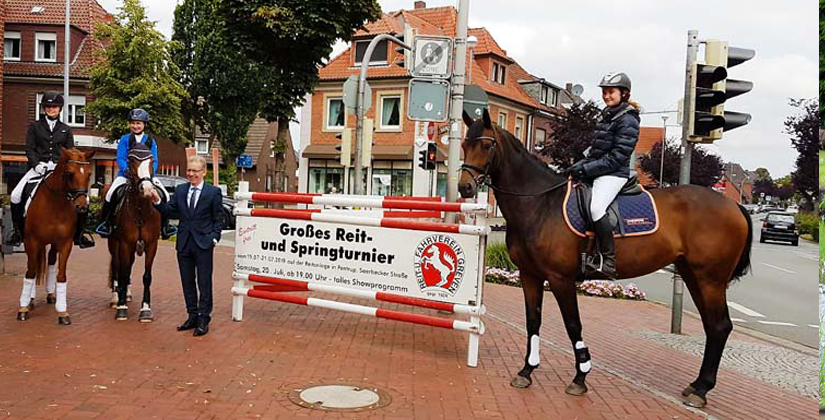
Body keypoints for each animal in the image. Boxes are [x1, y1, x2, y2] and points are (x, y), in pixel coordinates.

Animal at [16, 148, 95, 324]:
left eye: (89, 174)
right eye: (70, 173)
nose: (81, 207)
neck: (55, 204)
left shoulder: (65, 243)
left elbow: (61, 275)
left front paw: (63, 312)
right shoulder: (32, 242)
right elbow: (30, 272)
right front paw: (23, 308)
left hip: (52, 243)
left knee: (51, 262)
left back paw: (51, 294)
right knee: (32, 266)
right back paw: (30, 300)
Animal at [103, 144, 161, 322]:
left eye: (151, 160)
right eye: (131, 160)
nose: (147, 189)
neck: (141, 209)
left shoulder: (151, 245)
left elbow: (147, 277)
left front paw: (146, 310)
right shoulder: (125, 243)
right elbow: (123, 271)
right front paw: (121, 308)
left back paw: (126, 293)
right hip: (113, 243)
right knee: (118, 267)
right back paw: (116, 298)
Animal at [458, 109, 752, 408]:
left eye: (487, 146)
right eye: (465, 144)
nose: (465, 187)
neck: (540, 204)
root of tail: (734, 205)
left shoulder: (560, 279)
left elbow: (573, 325)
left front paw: (580, 377)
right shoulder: (530, 276)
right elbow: (533, 321)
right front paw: (526, 370)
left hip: (710, 280)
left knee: (720, 326)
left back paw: (702, 389)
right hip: (693, 276)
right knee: (712, 326)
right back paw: (696, 385)